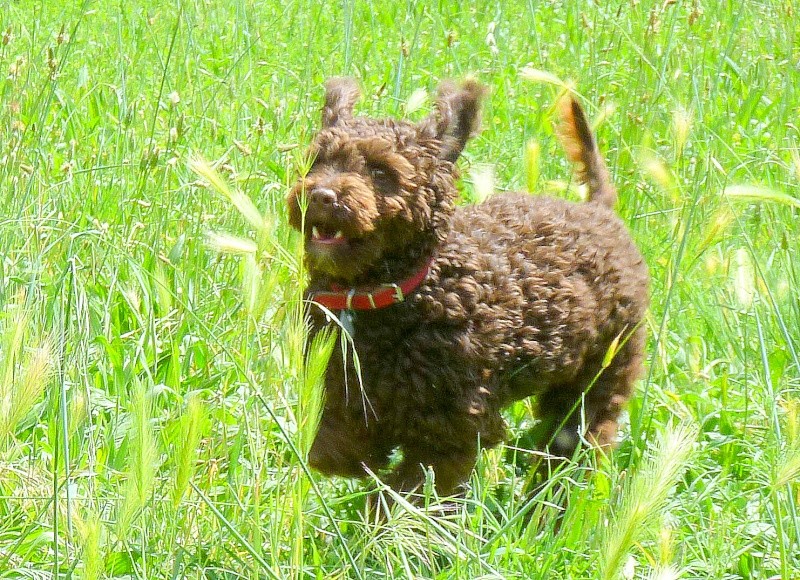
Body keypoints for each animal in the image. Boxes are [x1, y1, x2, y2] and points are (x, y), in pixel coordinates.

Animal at [288, 76, 648, 494]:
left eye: (381, 172)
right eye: (316, 162)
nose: (321, 195)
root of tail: (600, 210)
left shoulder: (452, 429)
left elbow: (411, 491)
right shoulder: (337, 380)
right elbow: (334, 448)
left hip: (605, 365)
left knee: (582, 433)